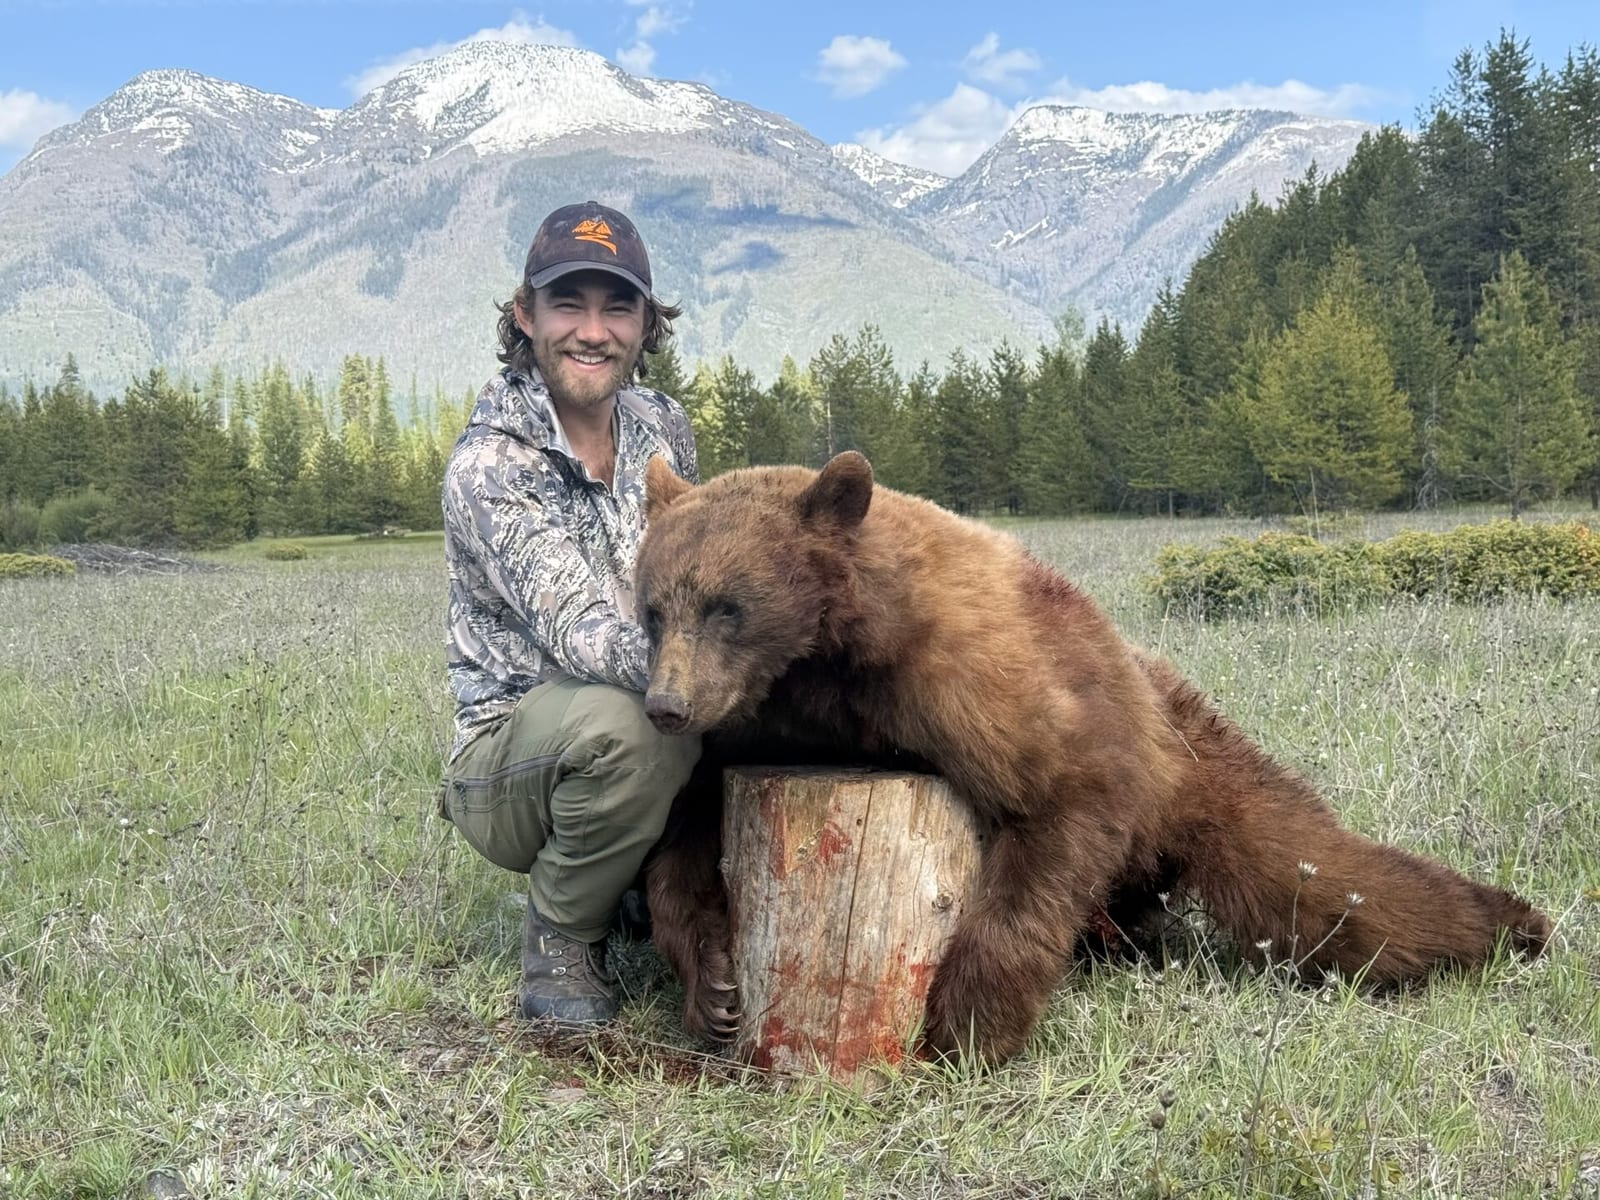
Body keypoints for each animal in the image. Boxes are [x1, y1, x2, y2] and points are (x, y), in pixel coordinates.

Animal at [635, 451, 1552, 1063]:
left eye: (727, 606)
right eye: (653, 607)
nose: (666, 705)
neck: (835, 662)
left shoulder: (971, 682)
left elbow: (1058, 807)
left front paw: (965, 1026)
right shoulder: (764, 722)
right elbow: (682, 830)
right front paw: (715, 989)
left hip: (1199, 767)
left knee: (1334, 887)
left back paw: (1516, 925)